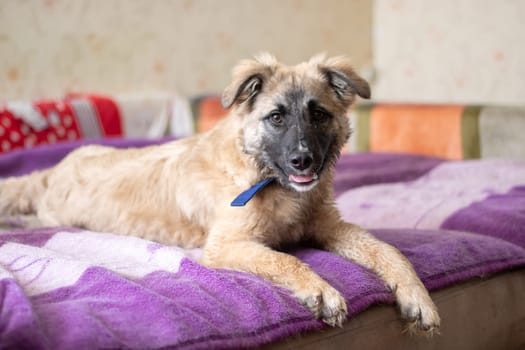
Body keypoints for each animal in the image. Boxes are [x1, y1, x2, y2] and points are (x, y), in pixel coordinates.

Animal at [0, 54, 438, 334]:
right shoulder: (227, 244)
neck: (266, 177)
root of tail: (54, 170)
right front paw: (321, 290)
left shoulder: (328, 227)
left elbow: (388, 250)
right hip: (54, 212)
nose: (303, 161)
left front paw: (417, 296)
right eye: (276, 117)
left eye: (318, 114)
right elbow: (285, 260)